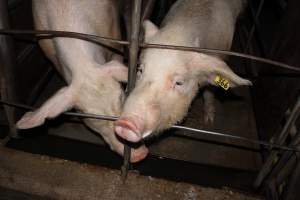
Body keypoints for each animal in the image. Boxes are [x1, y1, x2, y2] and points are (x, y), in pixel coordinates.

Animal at [116, 0, 252, 142]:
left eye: (179, 82)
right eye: (140, 70)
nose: (127, 123)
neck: (181, 30)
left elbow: (209, 91)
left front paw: (209, 121)